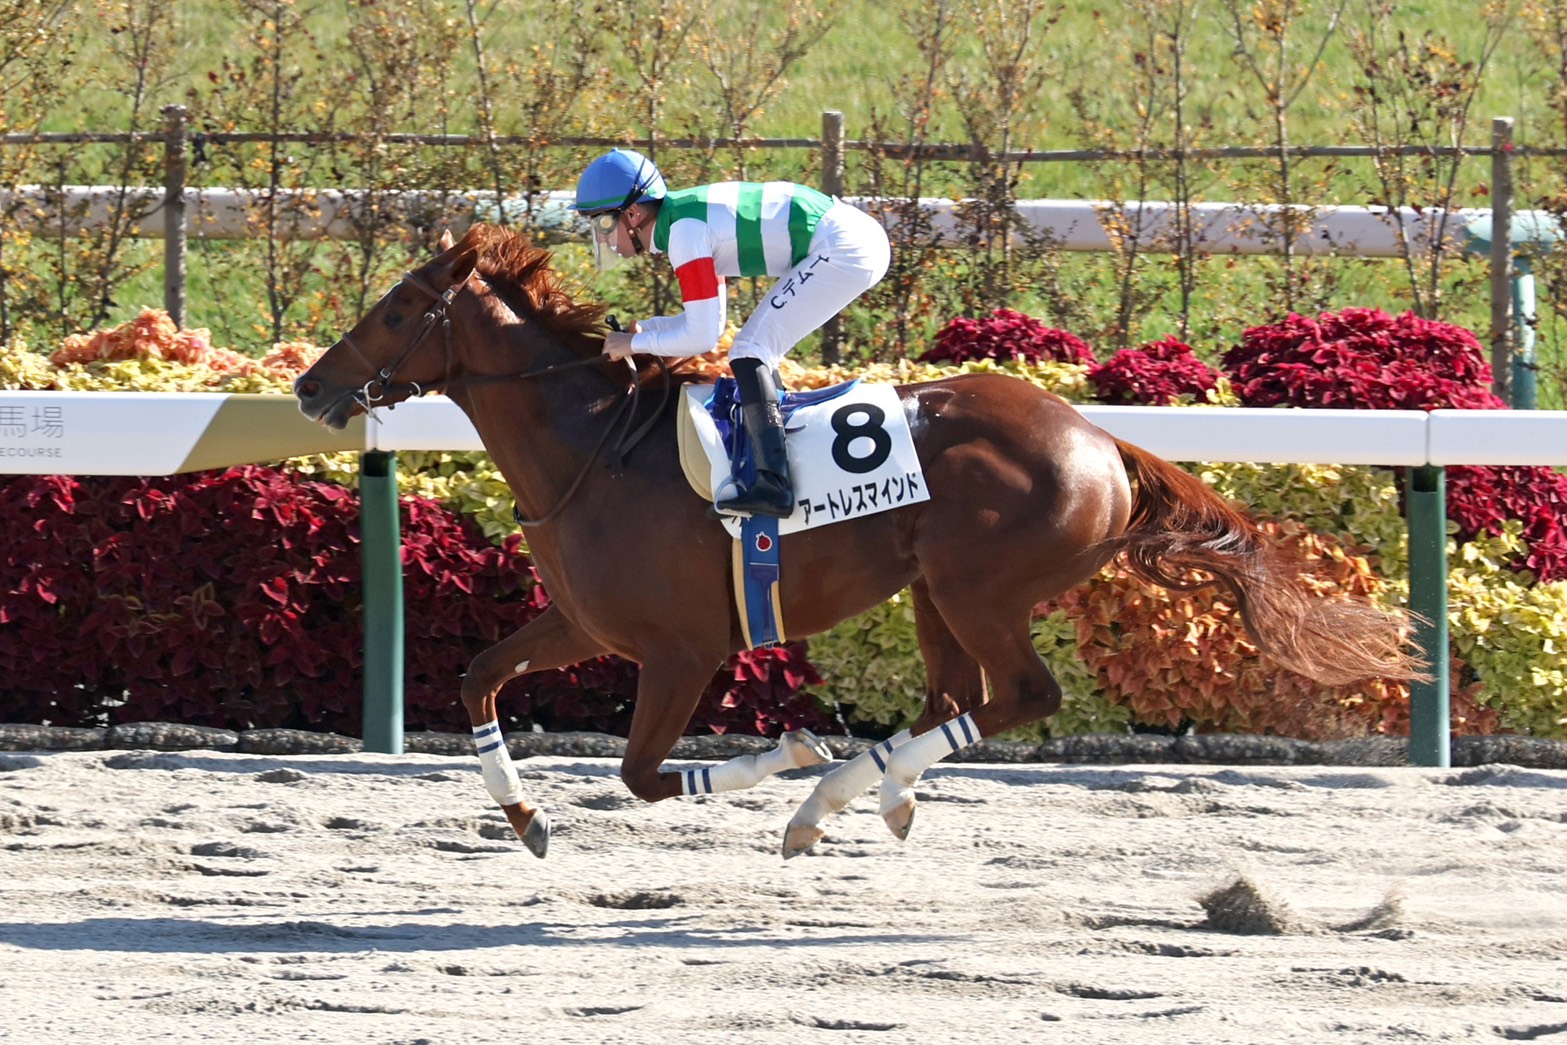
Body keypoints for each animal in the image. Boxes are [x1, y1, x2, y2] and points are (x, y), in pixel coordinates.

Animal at [294, 224, 1425, 860]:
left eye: (396, 309)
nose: (310, 386)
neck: (593, 449)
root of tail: (1100, 438)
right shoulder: (584, 623)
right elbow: (479, 679)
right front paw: (526, 819)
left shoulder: (679, 650)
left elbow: (646, 774)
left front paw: (790, 748)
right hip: (932, 589)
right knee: (955, 702)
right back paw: (863, 797)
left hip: (979, 588)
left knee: (1019, 696)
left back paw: (834, 792)